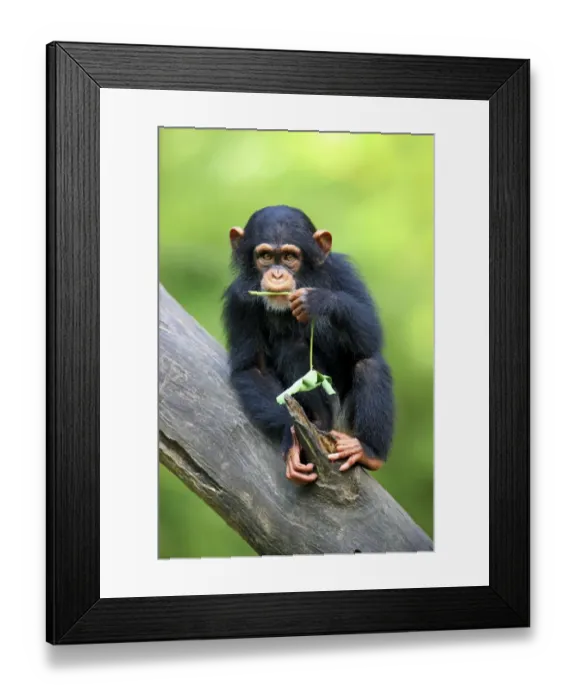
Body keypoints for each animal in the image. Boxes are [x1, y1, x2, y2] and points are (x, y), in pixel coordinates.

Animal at [222, 205, 394, 485]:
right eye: (266, 256)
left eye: (290, 256)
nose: (277, 274)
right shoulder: (239, 301)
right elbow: (252, 367)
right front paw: (289, 438)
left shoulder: (343, 273)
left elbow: (372, 336)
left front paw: (319, 300)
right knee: (292, 348)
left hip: (346, 426)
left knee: (370, 364)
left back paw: (369, 452)